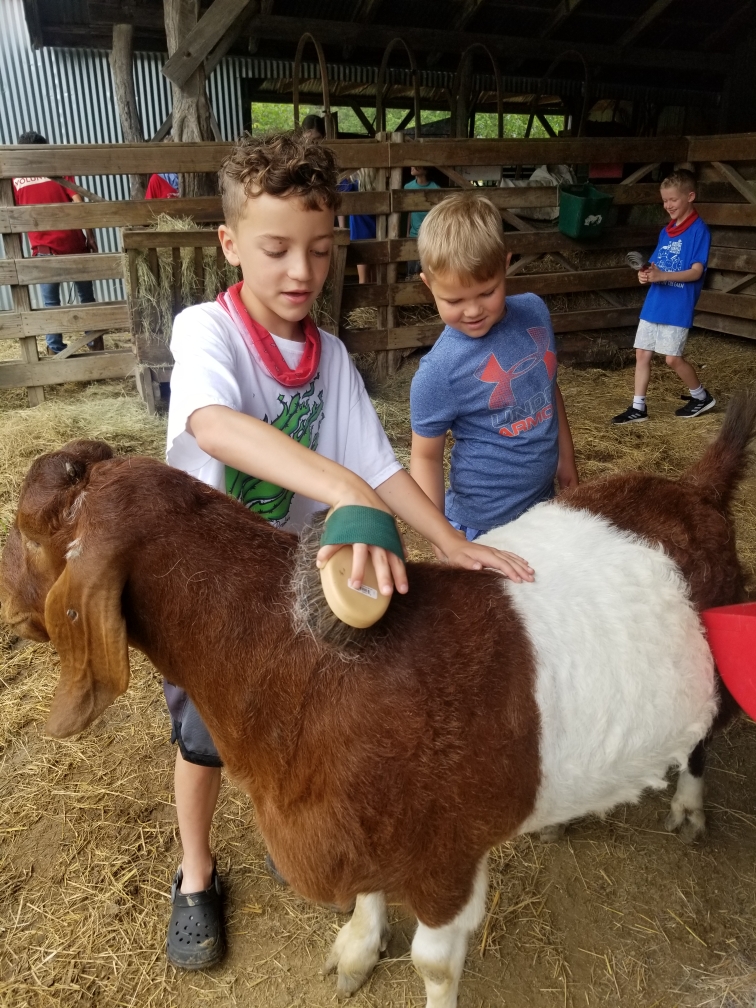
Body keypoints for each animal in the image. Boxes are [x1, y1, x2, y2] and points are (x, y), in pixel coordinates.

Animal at [0, 395, 753, 1008]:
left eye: (31, 536)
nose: (8, 607)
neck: (307, 667)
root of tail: (696, 492)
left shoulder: (447, 857)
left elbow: (434, 963)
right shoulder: (362, 829)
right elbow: (366, 899)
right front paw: (356, 953)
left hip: (713, 678)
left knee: (701, 741)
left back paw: (690, 807)